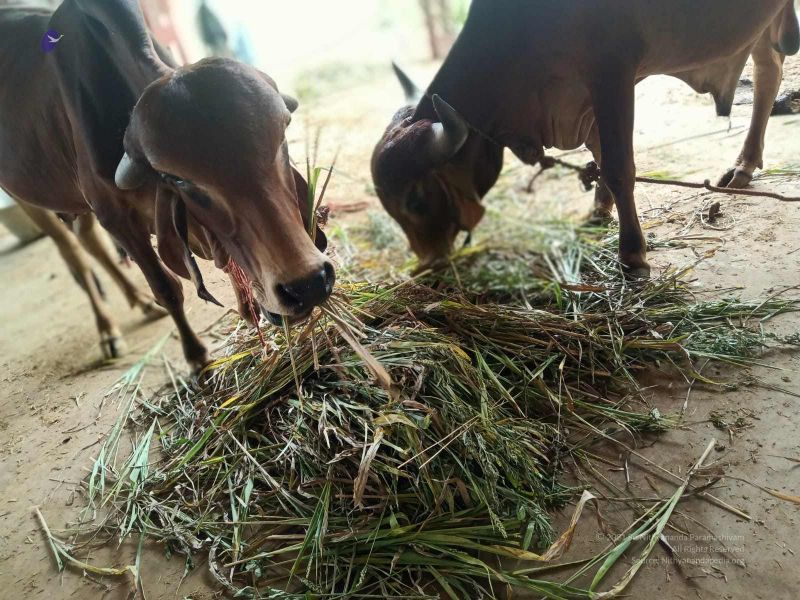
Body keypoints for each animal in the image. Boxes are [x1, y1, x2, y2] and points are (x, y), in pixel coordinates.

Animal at [0, 0, 335, 372]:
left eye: (282, 138)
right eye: (181, 181)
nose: (307, 284)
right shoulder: (115, 217)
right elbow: (168, 288)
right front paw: (196, 356)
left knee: (90, 244)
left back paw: (139, 303)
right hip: (29, 201)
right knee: (76, 258)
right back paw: (108, 330)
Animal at [372, 0, 800, 279]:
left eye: (415, 199)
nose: (426, 261)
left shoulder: (613, 71)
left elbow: (619, 167)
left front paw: (632, 255)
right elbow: (601, 157)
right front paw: (598, 212)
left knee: (769, 69)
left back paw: (744, 165)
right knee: (770, 69)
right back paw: (745, 165)